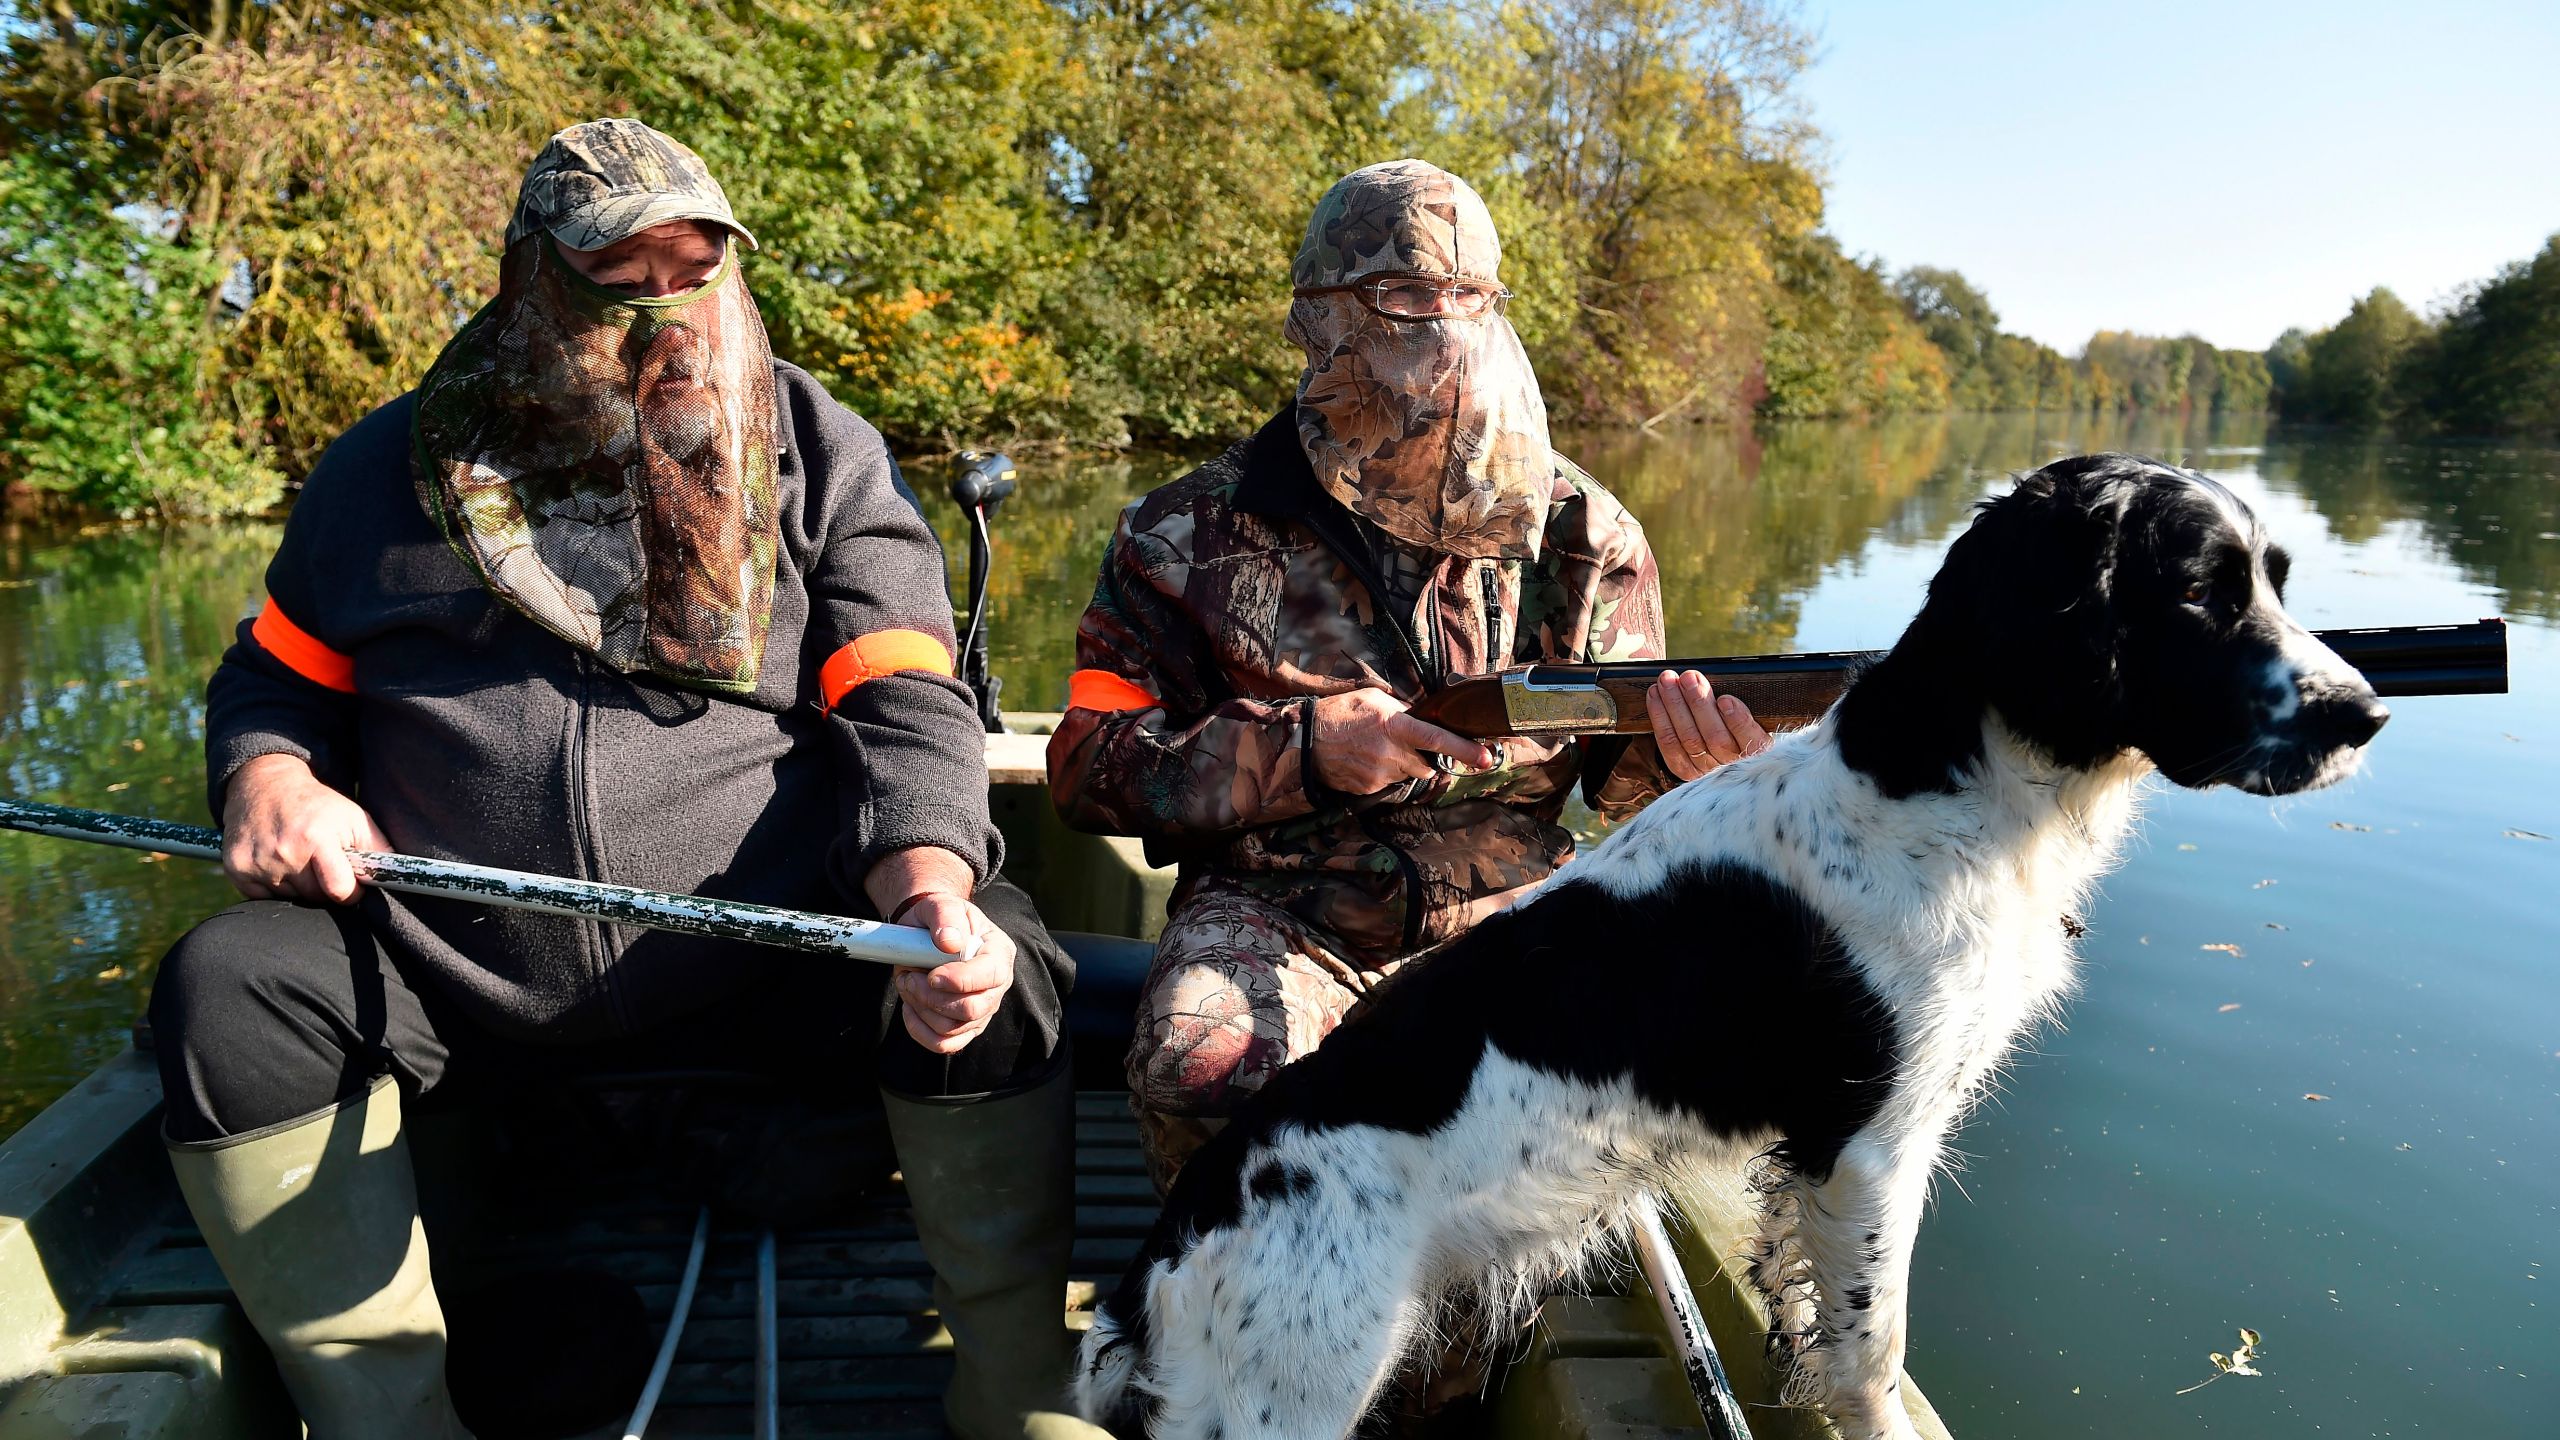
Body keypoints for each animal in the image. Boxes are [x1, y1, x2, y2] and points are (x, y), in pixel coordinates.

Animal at [1070, 450, 2385, 1434]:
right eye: (2200, 592)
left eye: (2273, 579)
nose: (2363, 712)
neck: (1942, 785)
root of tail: (1163, 1255)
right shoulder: (1871, 1144)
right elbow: (1869, 1353)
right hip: (1296, 1393)